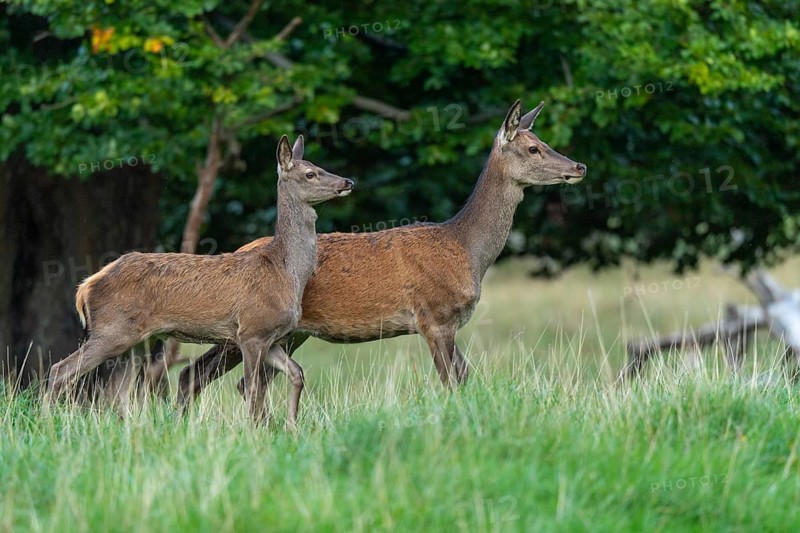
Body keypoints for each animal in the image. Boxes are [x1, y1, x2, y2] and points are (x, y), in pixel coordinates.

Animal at [48, 134, 355, 425]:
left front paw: (291, 425)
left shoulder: (271, 335)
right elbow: (253, 389)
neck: (286, 272)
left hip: (136, 341)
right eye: (310, 173)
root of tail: (85, 287)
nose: (348, 181)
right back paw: (47, 419)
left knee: (115, 391)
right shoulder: (252, 329)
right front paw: (256, 430)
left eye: (319, 166)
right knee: (60, 370)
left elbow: (297, 373)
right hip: (112, 329)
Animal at [177, 99, 587, 416]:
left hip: (289, 333)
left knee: (233, 382)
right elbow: (451, 381)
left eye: (544, 141)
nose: (579, 166)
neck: (466, 249)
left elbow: (466, 377)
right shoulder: (434, 316)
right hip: (242, 325)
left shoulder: (448, 322)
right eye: (533, 148)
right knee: (195, 375)